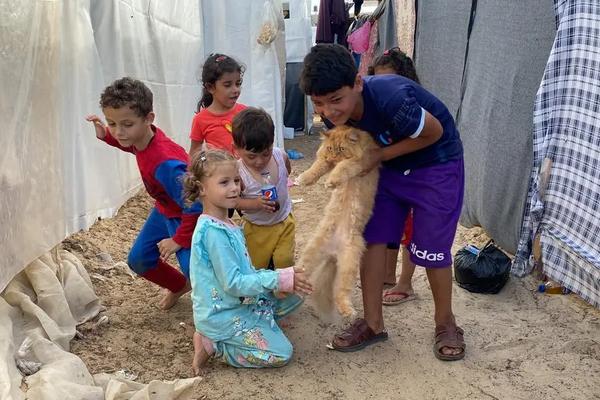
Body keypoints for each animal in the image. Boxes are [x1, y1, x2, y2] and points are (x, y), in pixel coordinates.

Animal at [296, 125, 380, 318]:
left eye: (341, 149)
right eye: (329, 148)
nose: (333, 158)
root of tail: (333, 253)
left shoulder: (360, 162)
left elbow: (343, 166)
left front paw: (332, 180)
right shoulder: (323, 160)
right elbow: (316, 166)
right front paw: (303, 178)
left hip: (349, 264)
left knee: (341, 293)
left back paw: (348, 311)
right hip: (311, 254)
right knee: (299, 273)